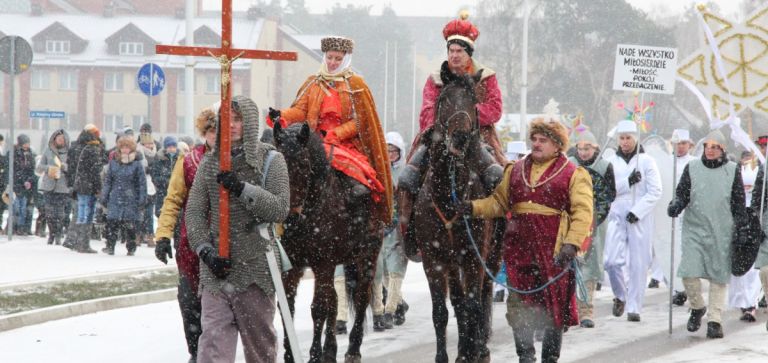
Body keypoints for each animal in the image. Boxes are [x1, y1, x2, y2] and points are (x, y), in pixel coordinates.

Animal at [274, 122, 382, 363]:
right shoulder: (292, 265)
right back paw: (331, 350)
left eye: (303, 164)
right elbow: (288, 305)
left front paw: (314, 354)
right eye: (277, 161)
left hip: (368, 253)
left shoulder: (322, 263)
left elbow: (318, 308)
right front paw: (289, 354)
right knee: (335, 299)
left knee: (361, 295)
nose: (288, 218)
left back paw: (353, 349)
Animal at [408, 67, 504, 362]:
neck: (449, 195)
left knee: (483, 294)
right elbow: (443, 311)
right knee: (459, 302)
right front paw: (448, 355)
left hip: (491, 255)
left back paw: (481, 346)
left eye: (472, 101)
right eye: (444, 100)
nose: (460, 137)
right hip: (453, 263)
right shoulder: (435, 260)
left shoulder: (474, 256)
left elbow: (473, 305)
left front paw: (474, 350)